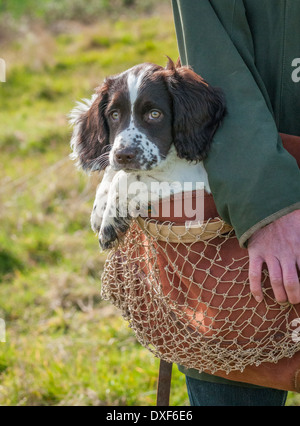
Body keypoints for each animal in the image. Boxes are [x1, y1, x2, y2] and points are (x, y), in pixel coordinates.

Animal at [69, 58, 225, 248]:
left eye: (155, 114)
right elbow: (113, 171)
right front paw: (99, 210)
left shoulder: (199, 179)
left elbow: (126, 177)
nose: (123, 155)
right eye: (114, 115)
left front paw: (109, 222)